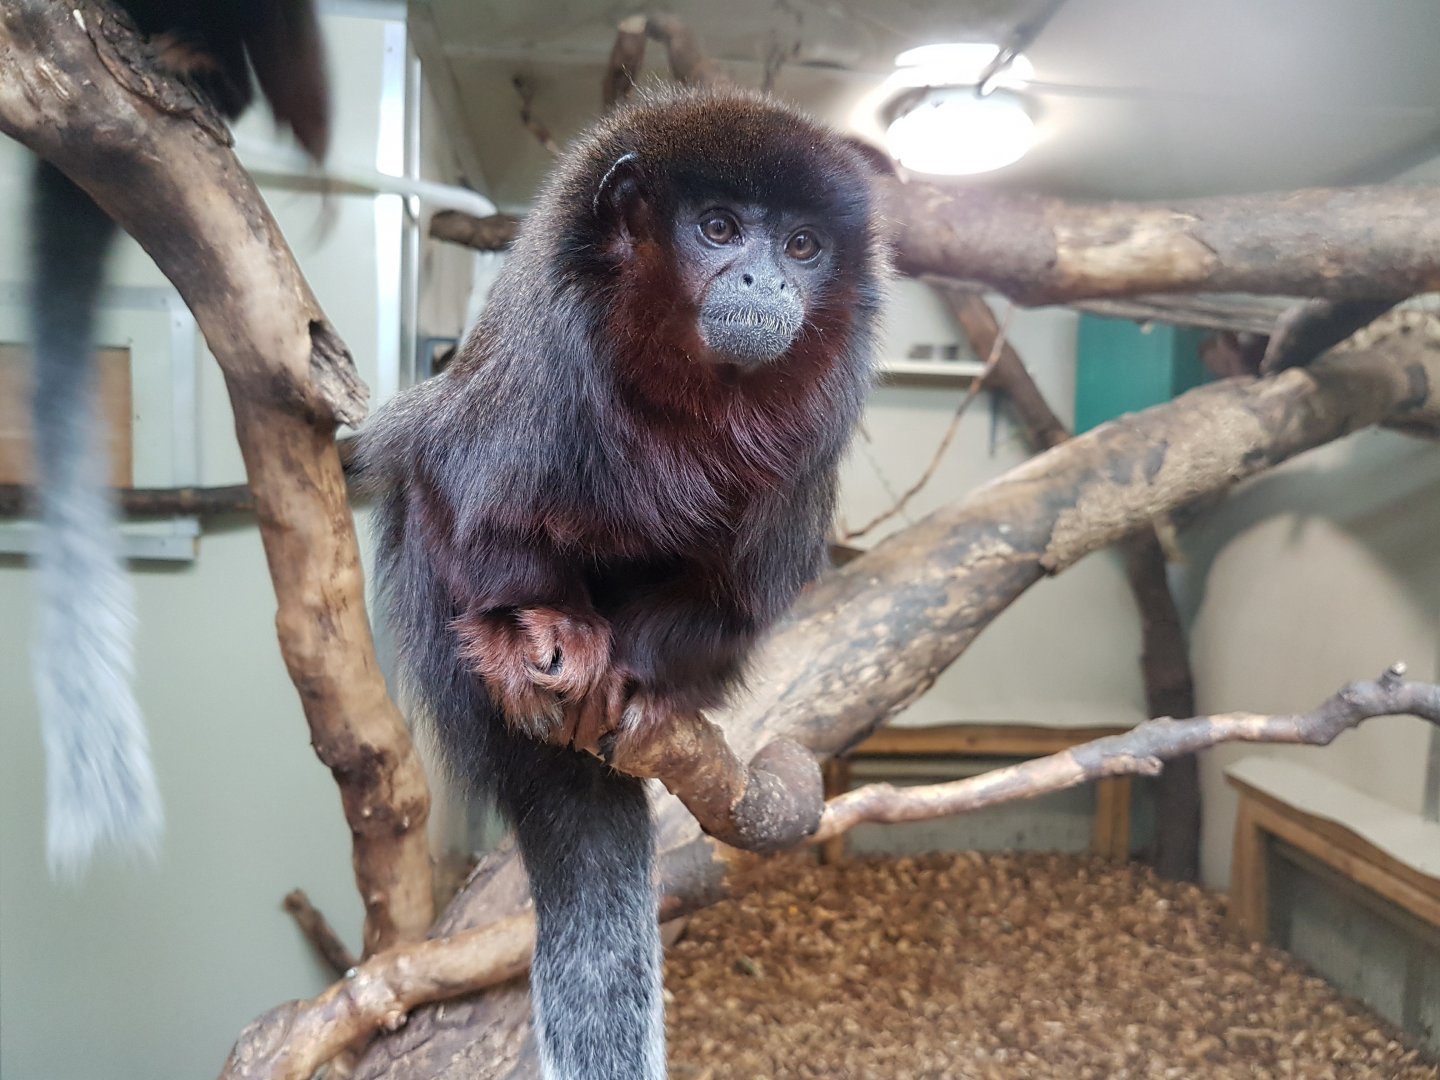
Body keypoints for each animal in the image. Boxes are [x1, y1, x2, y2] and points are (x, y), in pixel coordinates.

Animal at [358, 87, 885, 1080]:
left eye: (803, 245)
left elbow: (732, 601)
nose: (766, 283)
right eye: (718, 229)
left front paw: (634, 672)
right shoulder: (537, 378)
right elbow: (456, 492)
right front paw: (543, 632)